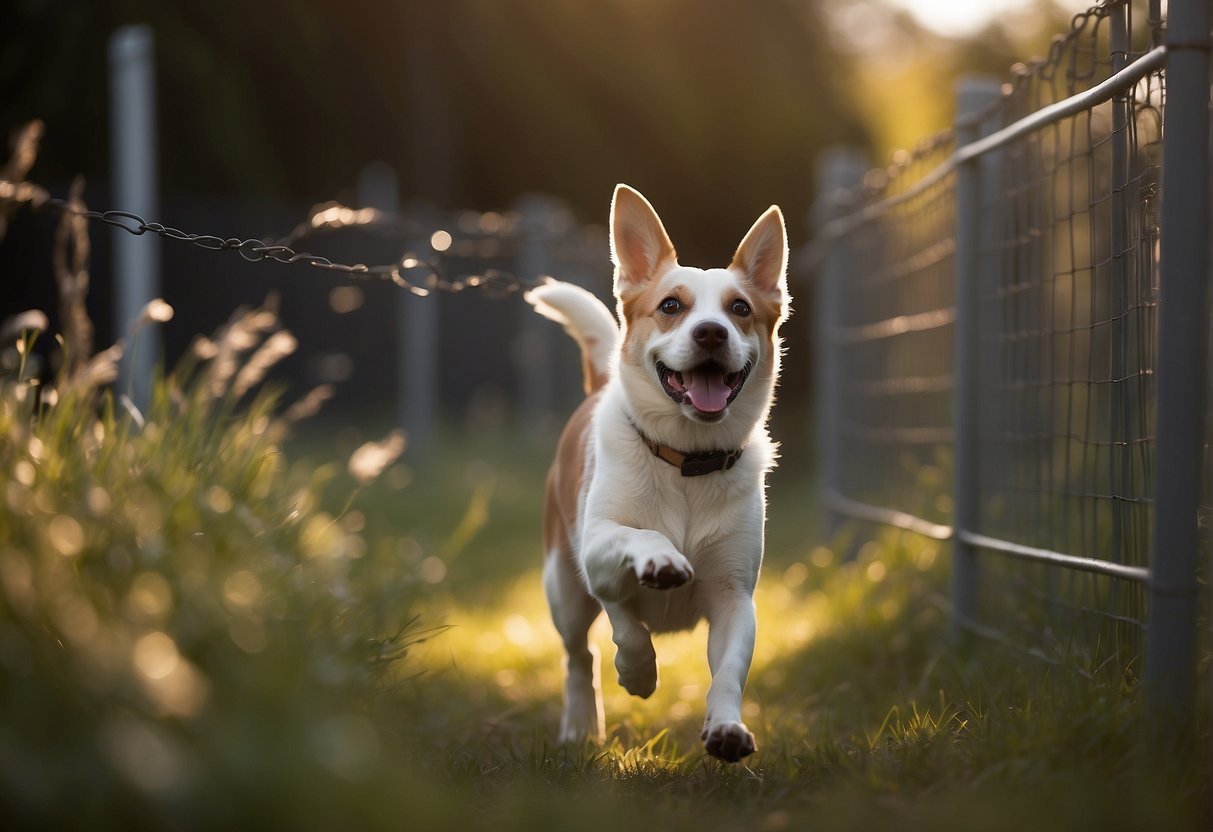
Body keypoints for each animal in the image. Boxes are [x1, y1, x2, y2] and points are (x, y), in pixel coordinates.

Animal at [526, 181, 790, 761]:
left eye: (740, 308)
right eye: (671, 305)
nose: (712, 332)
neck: (687, 460)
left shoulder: (735, 599)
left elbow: (729, 673)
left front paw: (726, 729)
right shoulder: (597, 559)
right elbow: (628, 613)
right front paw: (639, 671)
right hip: (563, 588)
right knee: (579, 658)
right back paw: (581, 725)